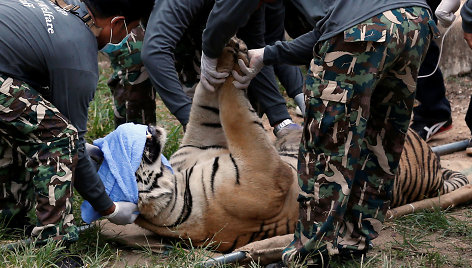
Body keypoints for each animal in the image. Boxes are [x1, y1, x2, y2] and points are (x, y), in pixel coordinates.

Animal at [132, 36, 468, 252]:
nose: (145, 127)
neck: (178, 184)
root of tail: (435, 163)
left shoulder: (200, 141)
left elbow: (209, 97)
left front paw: (226, 53)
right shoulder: (265, 176)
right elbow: (236, 112)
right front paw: (238, 61)